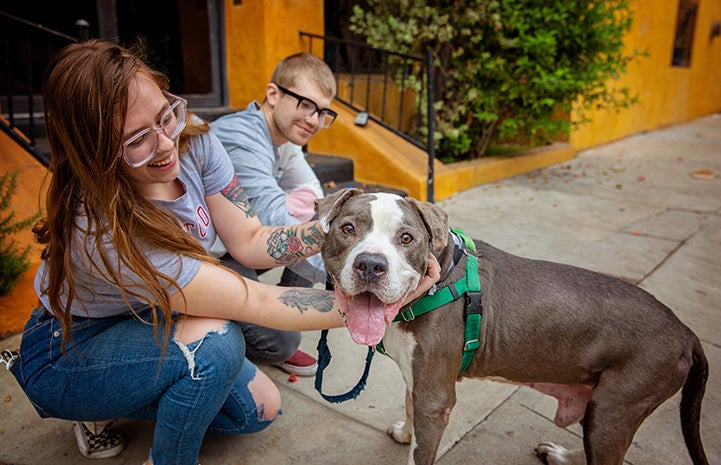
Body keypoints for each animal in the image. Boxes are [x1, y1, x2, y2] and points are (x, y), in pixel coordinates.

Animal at [316, 188, 708, 464]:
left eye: (406, 238)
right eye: (348, 229)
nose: (371, 265)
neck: (438, 279)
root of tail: (686, 333)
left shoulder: (435, 397)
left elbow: (421, 446)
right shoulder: (418, 379)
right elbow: (408, 403)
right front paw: (404, 433)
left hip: (617, 407)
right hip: (605, 407)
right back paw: (561, 455)